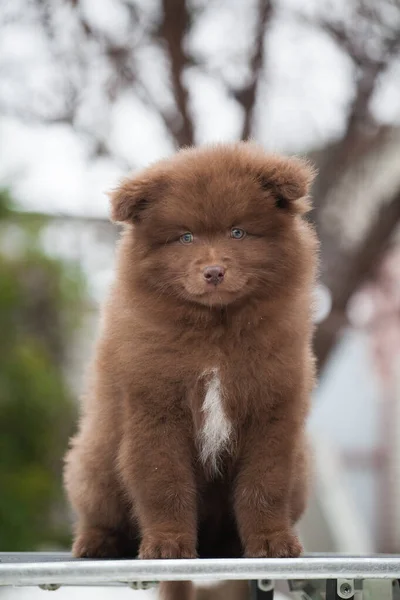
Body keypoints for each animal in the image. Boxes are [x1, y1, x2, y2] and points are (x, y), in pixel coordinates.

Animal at [62, 143, 318, 592]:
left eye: (237, 232)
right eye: (185, 237)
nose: (213, 271)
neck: (214, 337)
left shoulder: (273, 413)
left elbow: (264, 484)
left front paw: (271, 543)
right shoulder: (155, 410)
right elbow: (164, 482)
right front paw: (167, 545)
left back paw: (233, 544)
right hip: (93, 462)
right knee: (100, 512)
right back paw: (95, 543)